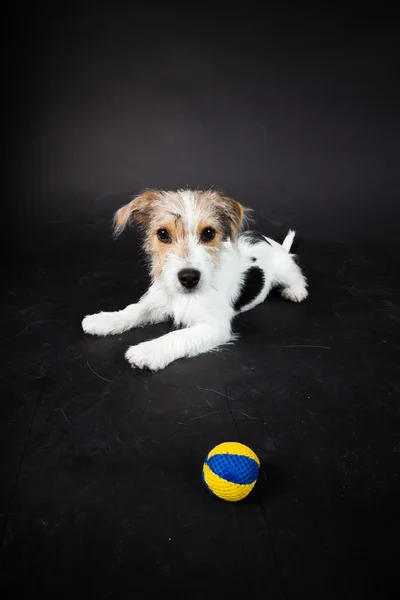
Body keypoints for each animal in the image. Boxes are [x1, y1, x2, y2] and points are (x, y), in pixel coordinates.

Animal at [80, 191, 306, 370]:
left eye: (208, 233)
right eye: (163, 234)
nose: (189, 277)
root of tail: (269, 241)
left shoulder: (214, 327)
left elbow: (178, 336)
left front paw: (149, 351)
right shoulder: (160, 302)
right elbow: (133, 310)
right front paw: (104, 320)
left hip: (283, 267)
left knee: (296, 275)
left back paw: (296, 291)